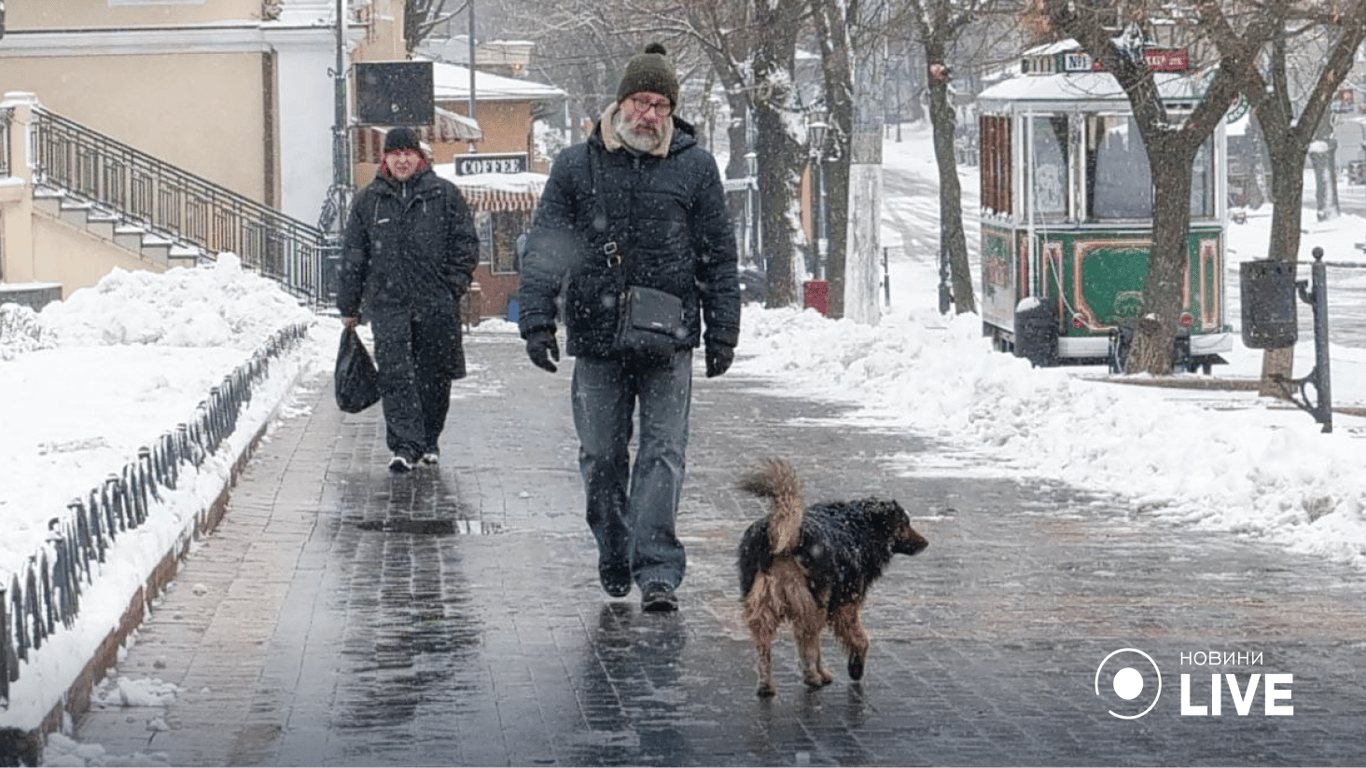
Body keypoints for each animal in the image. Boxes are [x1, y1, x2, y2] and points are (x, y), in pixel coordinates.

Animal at [737, 456, 928, 696]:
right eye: (904, 524)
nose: (925, 543)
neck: (859, 525)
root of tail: (781, 533)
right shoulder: (846, 603)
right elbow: (860, 639)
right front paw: (855, 666)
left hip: (764, 602)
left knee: (766, 646)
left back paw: (766, 684)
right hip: (812, 601)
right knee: (806, 641)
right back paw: (811, 678)